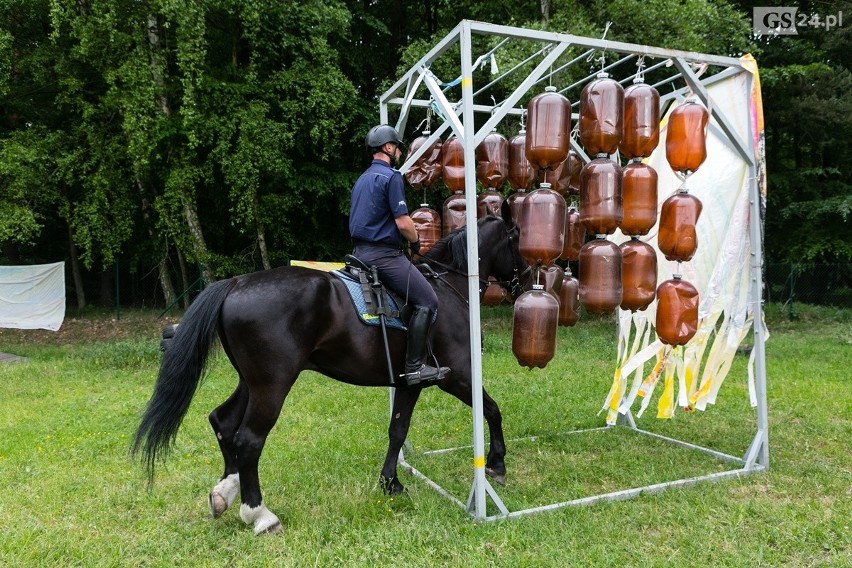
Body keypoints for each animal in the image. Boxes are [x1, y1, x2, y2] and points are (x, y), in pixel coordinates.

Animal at [132, 202, 524, 536]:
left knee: (223, 422)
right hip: (273, 385)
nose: (523, 279)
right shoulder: (457, 375)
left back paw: (224, 493)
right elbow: (492, 410)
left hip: (251, 382)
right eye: (516, 238)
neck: (450, 286)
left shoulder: (408, 383)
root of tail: (236, 284)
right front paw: (497, 465)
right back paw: (259, 514)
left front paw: (391, 483)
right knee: (248, 439)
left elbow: (397, 431)